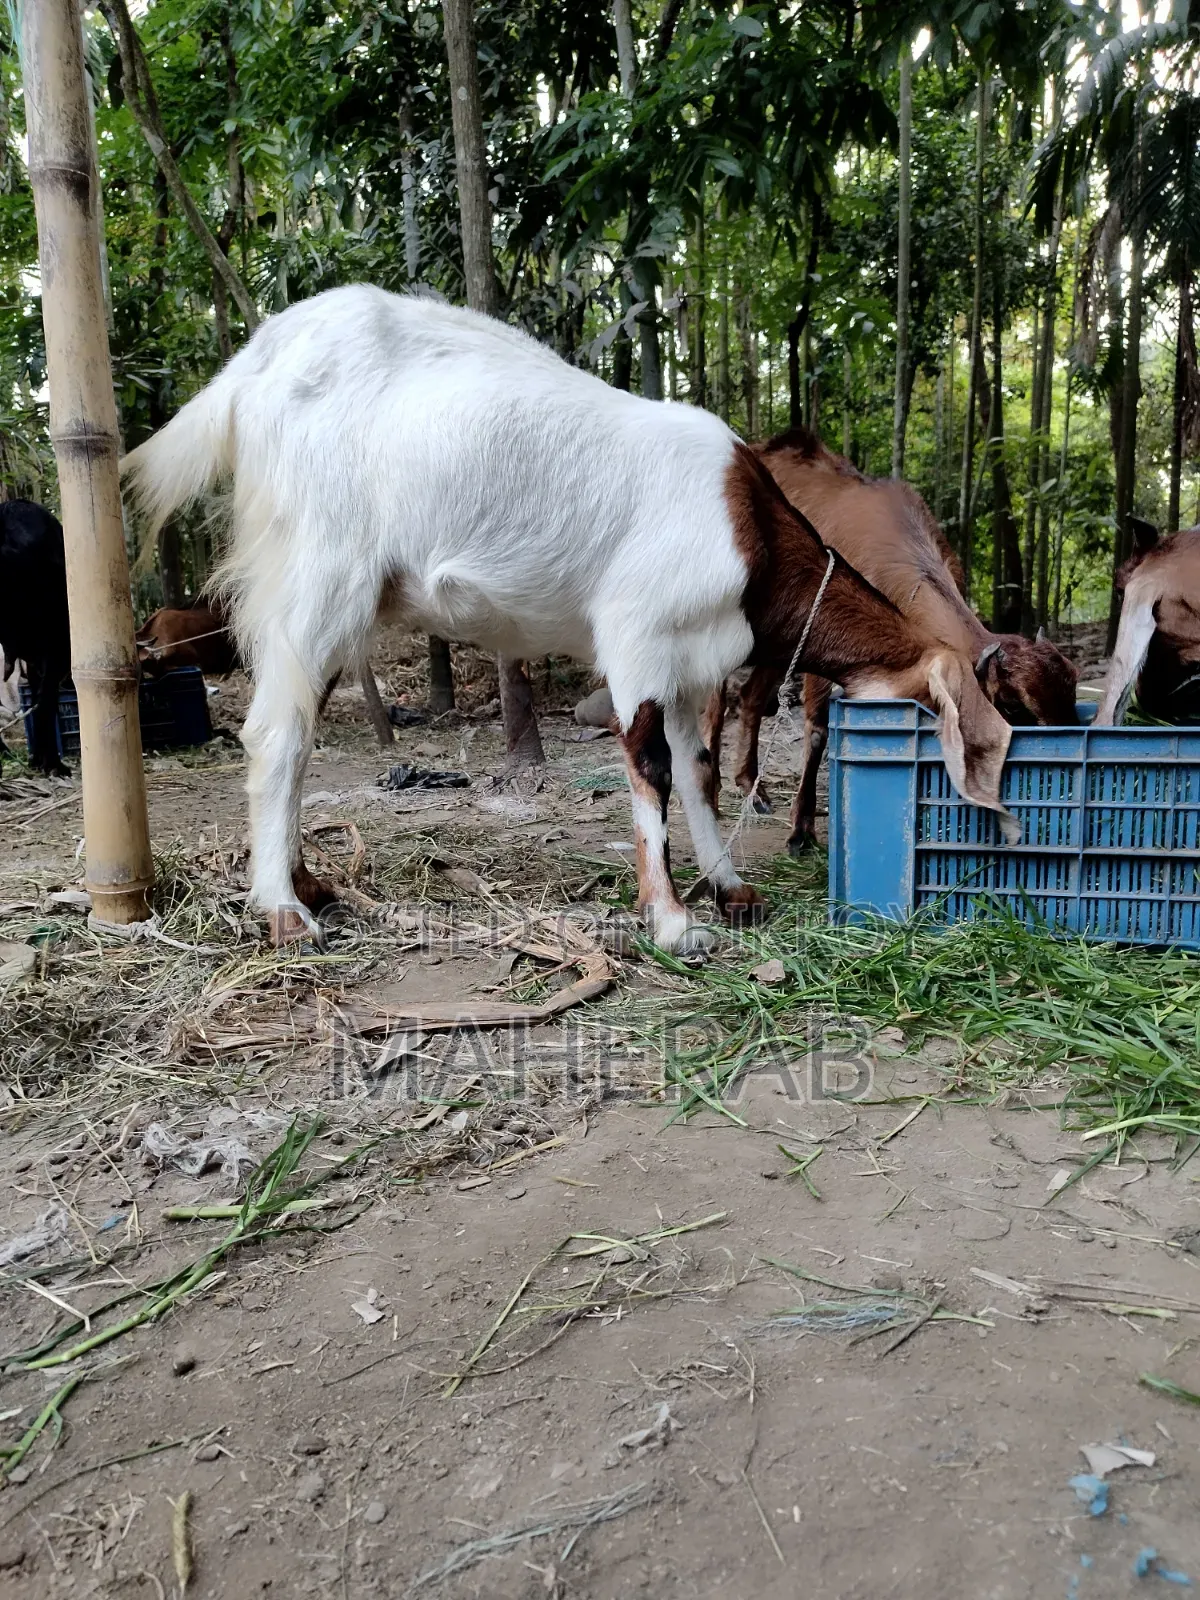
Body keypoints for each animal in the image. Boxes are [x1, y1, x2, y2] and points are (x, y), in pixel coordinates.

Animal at [121, 286, 1018, 953]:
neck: (749, 532)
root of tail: (250, 369)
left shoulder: (692, 665)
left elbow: (698, 772)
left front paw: (730, 888)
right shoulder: (637, 637)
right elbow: (649, 766)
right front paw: (672, 922)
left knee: (300, 730)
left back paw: (311, 882)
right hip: (318, 567)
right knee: (277, 731)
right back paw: (282, 908)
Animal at [707, 428, 1079, 855]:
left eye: (1071, 696)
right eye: (1015, 707)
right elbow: (817, 732)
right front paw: (801, 830)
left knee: (751, 697)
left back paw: (754, 789)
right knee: (716, 704)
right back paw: (714, 794)